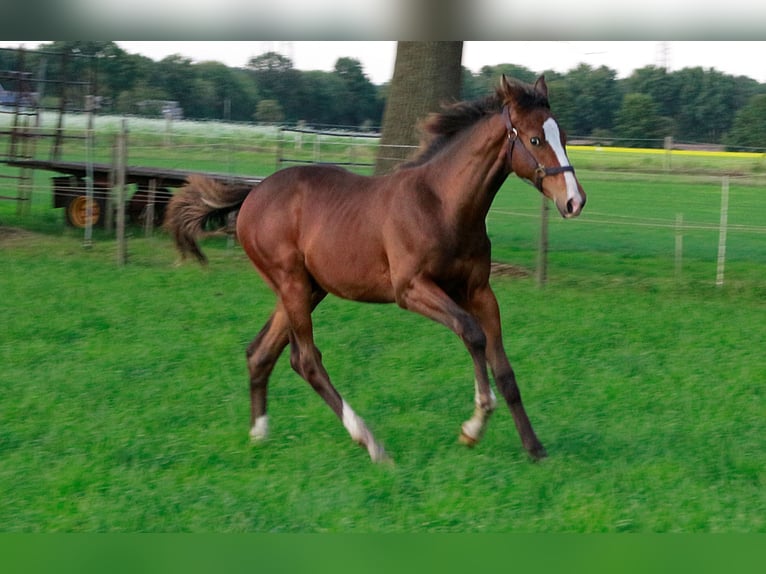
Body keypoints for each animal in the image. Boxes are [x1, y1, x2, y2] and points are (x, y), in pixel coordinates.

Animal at [164, 75, 586, 463]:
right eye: (535, 140)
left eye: (563, 135)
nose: (574, 201)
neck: (443, 204)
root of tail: (254, 193)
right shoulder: (411, 289)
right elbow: (472, 333)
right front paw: (474, 425)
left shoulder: (480, 291)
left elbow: (505, 369)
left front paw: (534, 448)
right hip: (292, 284)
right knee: (305, 360)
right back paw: (370, 443)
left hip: (308, 289)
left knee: (260, 351)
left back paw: (259, 435)